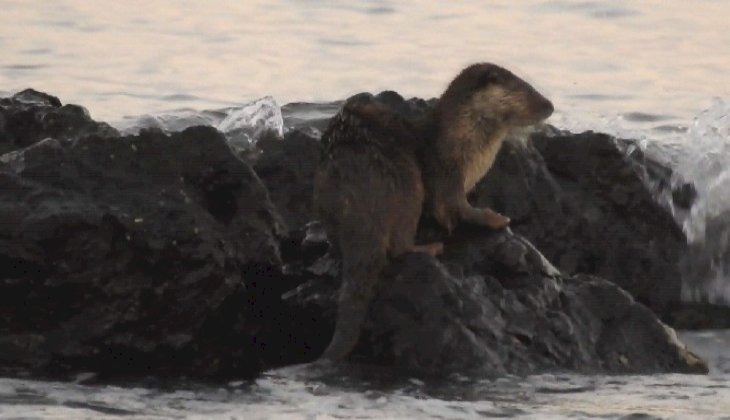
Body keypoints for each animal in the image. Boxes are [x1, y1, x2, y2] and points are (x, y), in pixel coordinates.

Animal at [312, 62, 552, 360]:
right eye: (524, 90)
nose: (550, 105)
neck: (465, 144)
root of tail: (356, 194)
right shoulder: (447, 174)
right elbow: (455, 207)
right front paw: (494, 218)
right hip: (407, 185)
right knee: (398, 246)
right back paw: (430, 248)